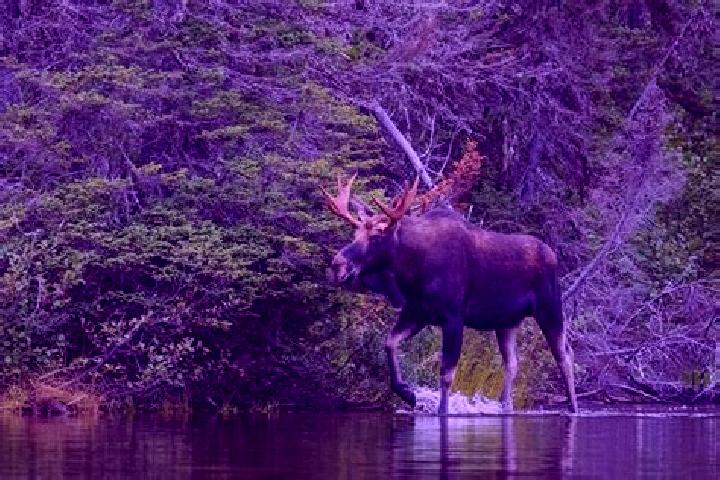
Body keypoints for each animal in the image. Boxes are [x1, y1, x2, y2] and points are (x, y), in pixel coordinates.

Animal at [321, 174, 578, 415]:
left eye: (376, 236)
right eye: (354, 235)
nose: (337, 265)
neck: (411, 272)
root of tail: (553, 255)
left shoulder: (453, 317)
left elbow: (446, 373)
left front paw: (441, 410)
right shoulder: (417, 312)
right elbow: (390, 343)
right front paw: (408, 393)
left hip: (550, 308)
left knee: (565, 356)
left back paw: (573, 407)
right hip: (506, 322)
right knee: (513, 363)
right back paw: (505, 406)